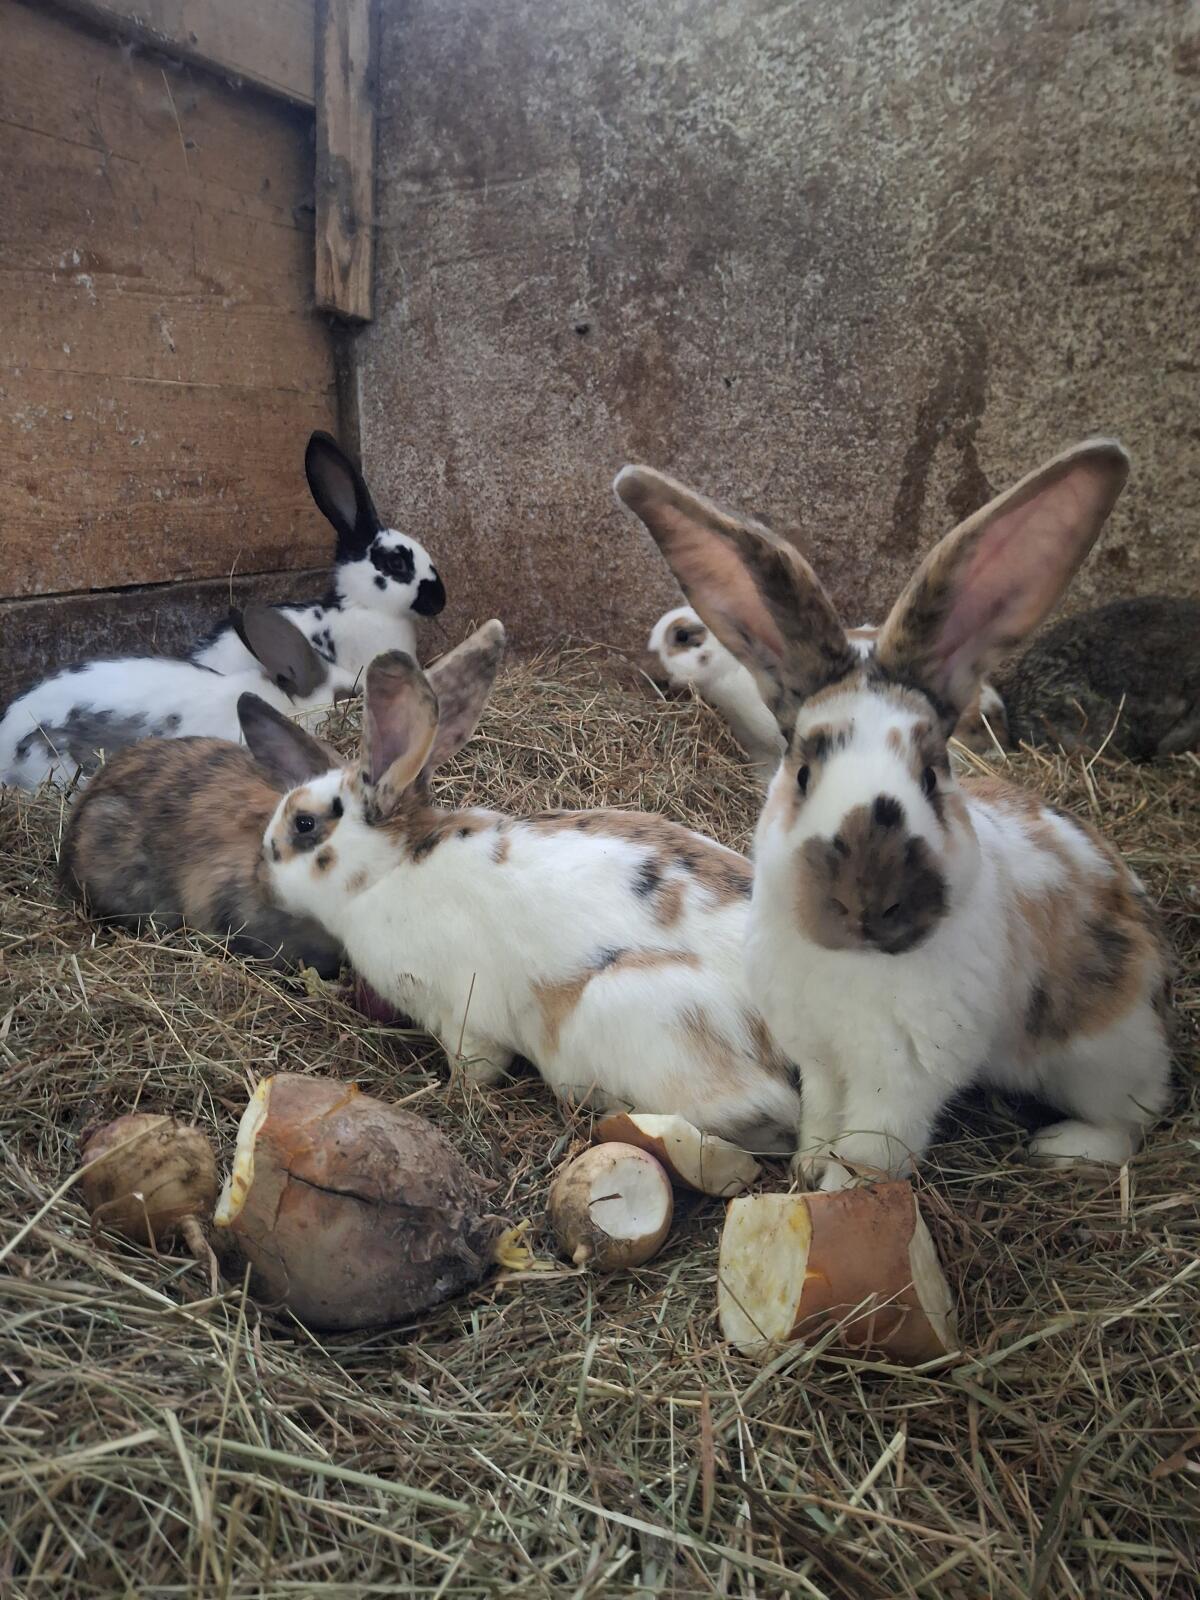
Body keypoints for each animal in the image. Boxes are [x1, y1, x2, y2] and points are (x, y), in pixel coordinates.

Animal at [240, 622, 803, 1152]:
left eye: (305, 825)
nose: (260, 874)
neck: (390, 871)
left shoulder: (466, 1019)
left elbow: (476, 1068)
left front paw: (452, 1096)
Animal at [617, 439, 1173, 1189]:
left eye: (932, 774)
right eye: (802, 772)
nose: (866, 900)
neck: (851, 964)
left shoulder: (903, 1076)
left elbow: (873, 1147)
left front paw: (837, 1186)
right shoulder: (819, 1054)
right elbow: (822, 1116)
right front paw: (807, 1165)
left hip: (1105, 1055)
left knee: (1133, 1123)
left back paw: (1062, 1146)